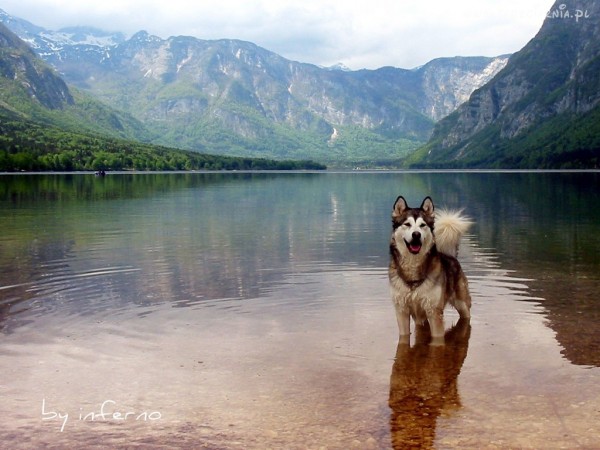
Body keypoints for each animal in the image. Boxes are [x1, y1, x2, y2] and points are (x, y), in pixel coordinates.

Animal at [390, 195, 474, 342]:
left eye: (422, 225)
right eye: (407, 224)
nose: (416, 234)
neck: (413, 265)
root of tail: (450, 255)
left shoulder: (434, 311)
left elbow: (436, 340)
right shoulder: (401, 311)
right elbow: (404, 337)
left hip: (462, 304)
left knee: (466, 316)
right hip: (420, 318)